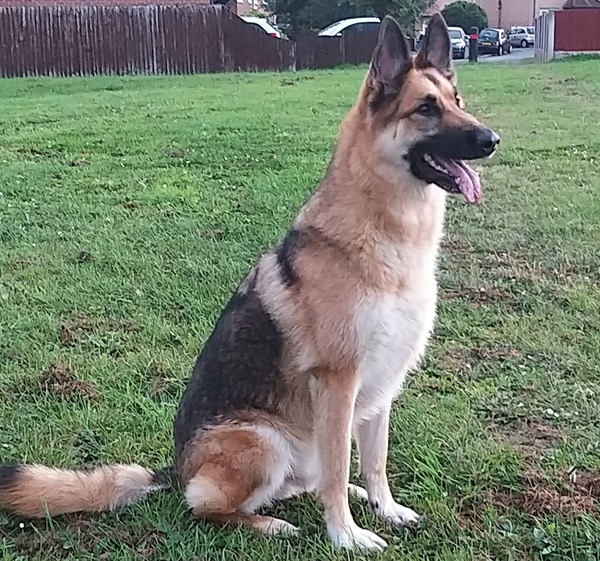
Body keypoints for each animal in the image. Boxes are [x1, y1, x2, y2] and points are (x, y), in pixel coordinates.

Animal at [0, 13, 496, 552]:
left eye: (457, 102)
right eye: (426, 109)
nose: (491, 140)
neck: (383, 232)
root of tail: (173, 471)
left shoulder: (380, 390)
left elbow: (374, 462)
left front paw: (384, 509)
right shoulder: (338, 382)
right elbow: (342, 464)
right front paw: (345, 536)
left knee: (309, 481)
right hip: (264, 440)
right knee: (207, 507)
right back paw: (270, 524)